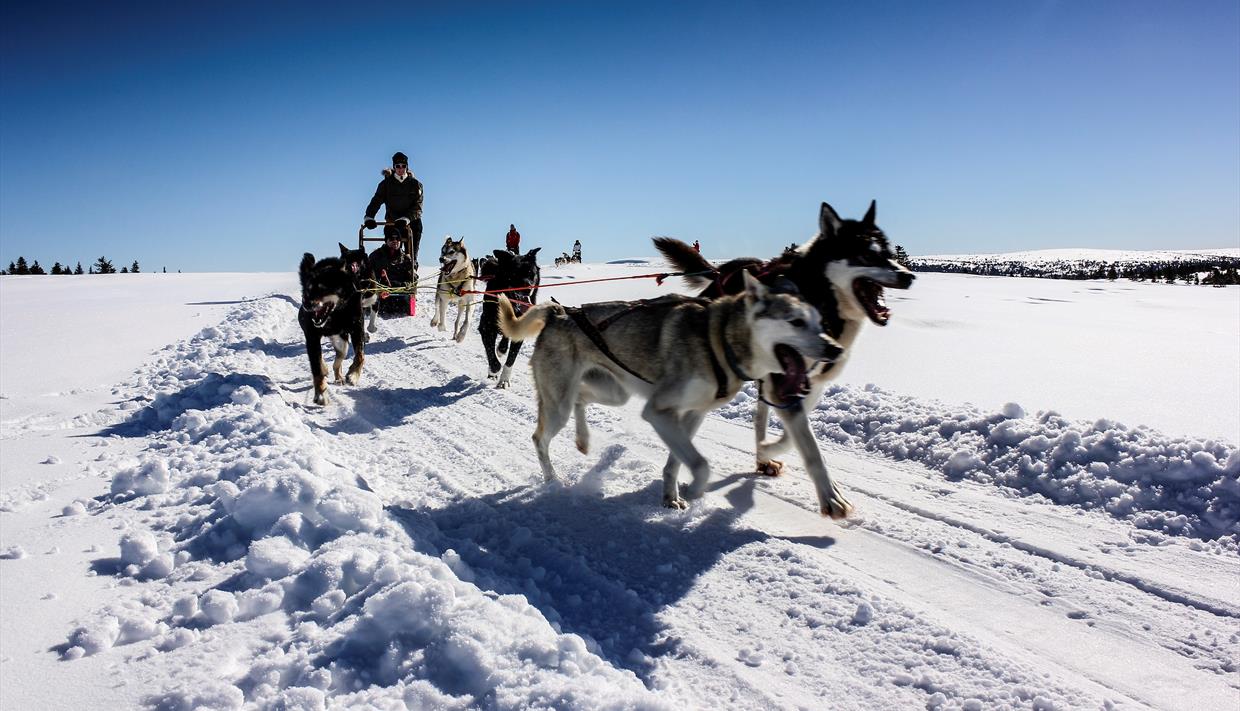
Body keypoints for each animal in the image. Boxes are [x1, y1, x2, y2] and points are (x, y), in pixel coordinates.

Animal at [298, 250, 364, 404]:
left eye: (322, 288)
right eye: (308, 289)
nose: (306, 303)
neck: (337, 313)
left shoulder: (357, 328)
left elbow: (360, 355)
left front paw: (353, 375)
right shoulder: (312, 337)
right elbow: (316, 368)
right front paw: (320, 393)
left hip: (343, 342)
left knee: (339, 359)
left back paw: (339, 377)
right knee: (324, 361)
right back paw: (326, 370)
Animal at [476, 246, 540, 384]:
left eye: (531, 273)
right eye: (515, 273)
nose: (528, 288)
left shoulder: (520, 330)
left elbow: (511, 358)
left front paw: (504, 379)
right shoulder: (486, 327)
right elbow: (491, 353)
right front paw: (493, 370)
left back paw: (502, 348)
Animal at [496, 272, 853, 516]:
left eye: (819, 321)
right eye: (796, 321)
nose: (834, 349)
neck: (718, 339)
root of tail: (558, 314)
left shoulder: (689, 415)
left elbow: (678, 461)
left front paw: (671, 496)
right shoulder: (658, 412)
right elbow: (701, 464)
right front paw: (694, 489)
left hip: (613, 392)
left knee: (582, 399)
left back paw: (583, 440)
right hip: (559, 405)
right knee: (540, 438)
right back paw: (552, 478)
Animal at [654, 199, 917, 516]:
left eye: (889, 254)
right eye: (866, 254)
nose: (908, 276)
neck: (820, 296)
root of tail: (723, 273)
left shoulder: (809, 384)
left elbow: (794, 437)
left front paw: (768, 449)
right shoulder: (784, 385)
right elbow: (810, 446)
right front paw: (831, 497)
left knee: (759, 417)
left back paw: (762, 458)